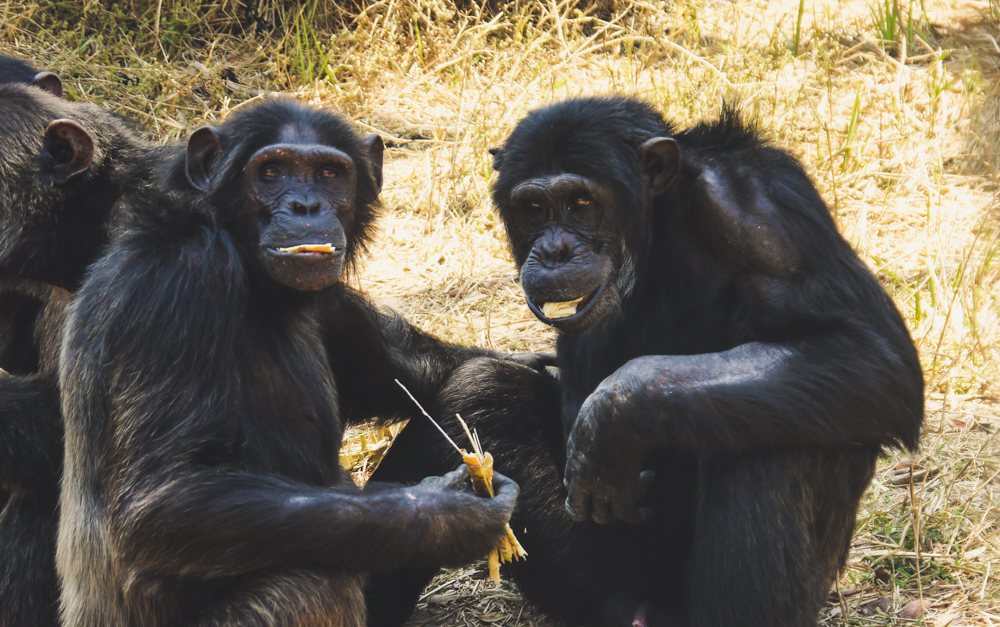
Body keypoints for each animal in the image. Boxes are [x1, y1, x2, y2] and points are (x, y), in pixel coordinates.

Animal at [56, 97, 524, 627]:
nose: (306, 206)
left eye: (329, 174)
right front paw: (452, 511)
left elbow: (387, 372)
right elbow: (164, 499)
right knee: (310, 585)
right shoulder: (177, 288)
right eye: (272, 172)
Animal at [372, 94, 924, 627]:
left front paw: (612, 415)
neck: (658, 224)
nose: (553, 250)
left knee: (784, 437)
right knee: (480, 390)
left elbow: (869, 351)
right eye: (533, 207)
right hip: (587, 580)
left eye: (581, 203)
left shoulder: (761, 211)